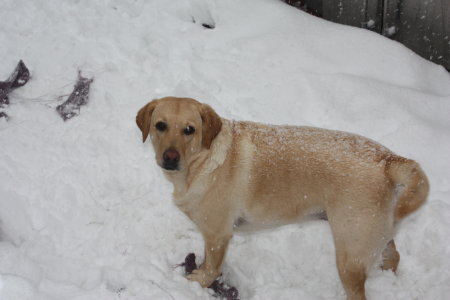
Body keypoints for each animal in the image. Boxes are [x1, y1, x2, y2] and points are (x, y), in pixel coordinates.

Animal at [136, 96, 428, 300]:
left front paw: (196, 282)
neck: (203, 162)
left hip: (350, 253)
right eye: (160, 126)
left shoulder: (218, 235)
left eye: (190, 130)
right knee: (394, 256)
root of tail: (389, 160)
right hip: (376, 235)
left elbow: (211, 268)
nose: (170, 158)